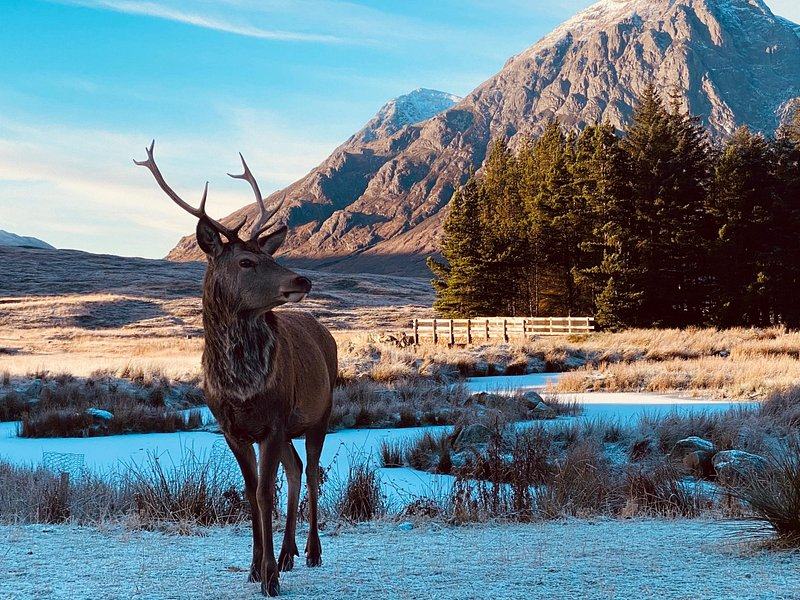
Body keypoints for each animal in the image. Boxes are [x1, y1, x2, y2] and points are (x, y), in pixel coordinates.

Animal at [135, 141, 337, 597]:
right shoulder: (231, 428)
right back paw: (288, 553)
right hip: (292, 426)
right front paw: (255, 568)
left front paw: (269, 578)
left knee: (312, 472)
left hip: (322, 412)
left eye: (269, 254)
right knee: (297, 469)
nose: (303, 281)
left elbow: (264, 494)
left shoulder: (274, 420)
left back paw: (312, 552)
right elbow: (249, 494)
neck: (241, 386)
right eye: (246, 261)